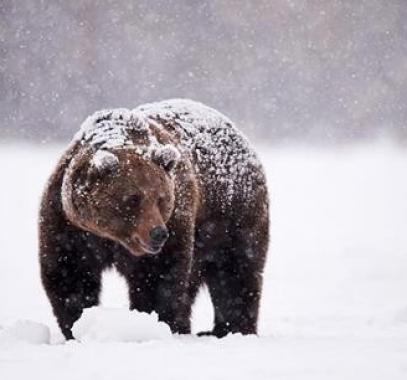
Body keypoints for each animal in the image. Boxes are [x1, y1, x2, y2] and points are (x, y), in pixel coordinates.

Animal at [39, 98, 268, 338]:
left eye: (161, 198)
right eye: (132, 198)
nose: (158, 233)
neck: (112, 237)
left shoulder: (176, 219)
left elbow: (158, 278)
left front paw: (155, 322)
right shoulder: (69, 226)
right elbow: (71, 275)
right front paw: (76, 327)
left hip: (232, 217)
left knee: (236, 272)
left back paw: (232, 329)